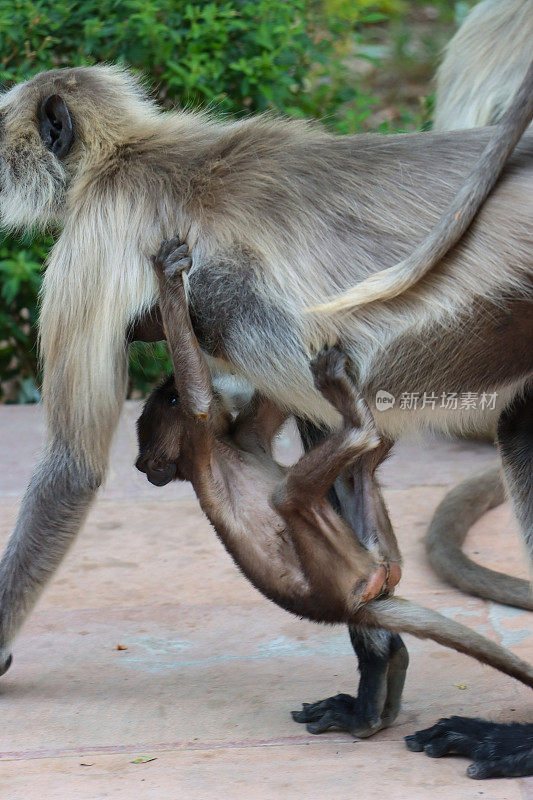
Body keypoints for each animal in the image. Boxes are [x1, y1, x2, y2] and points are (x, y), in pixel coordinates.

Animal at [134, 238, 533, 700]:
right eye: (171, 401)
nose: (167, 385)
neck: (225, 445)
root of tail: (354, 608)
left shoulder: (245, 434)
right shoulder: (202, 444)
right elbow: (200, 399)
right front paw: (169, 282)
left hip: (371, 552)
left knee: (359, 471)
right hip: (346, 572)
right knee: (290, 495)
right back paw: (358, 424)